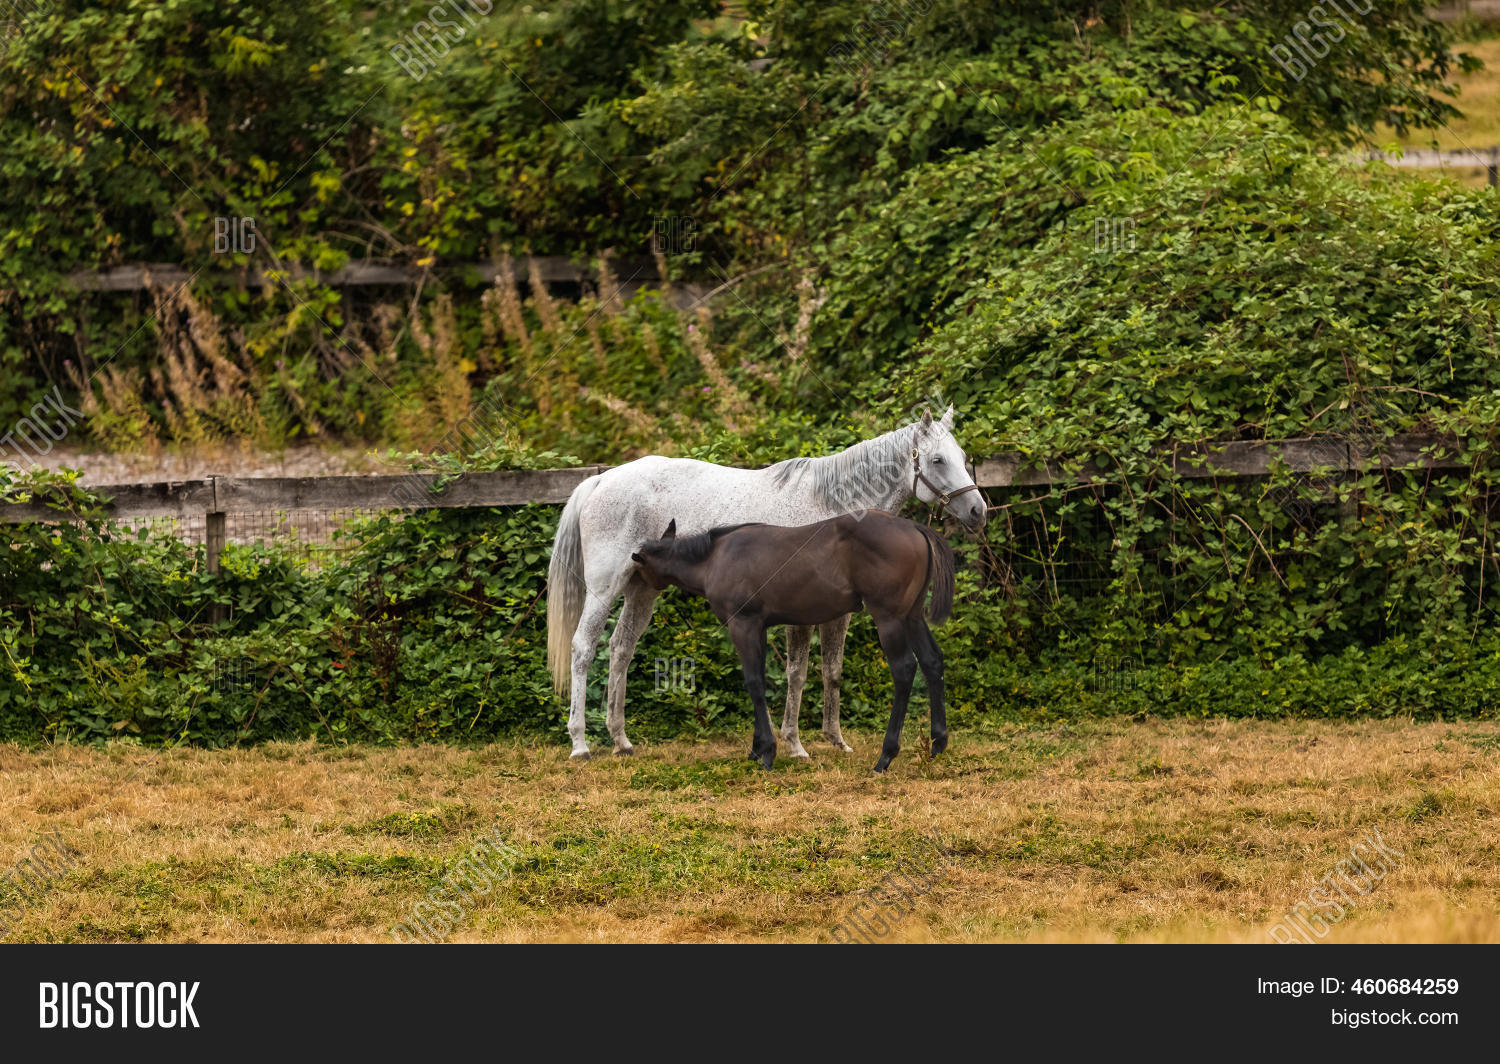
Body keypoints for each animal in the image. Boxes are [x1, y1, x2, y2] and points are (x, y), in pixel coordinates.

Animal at [630, 511, 955, 773]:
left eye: (638, 569)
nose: (632, 595)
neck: (715, 559)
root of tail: (915, 527)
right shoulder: (758, 627)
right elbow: (759, 680)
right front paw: (757, 748)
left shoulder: (743, 625)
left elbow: (753, 682)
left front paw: (767, 752)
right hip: (912, 616)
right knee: (932, 660)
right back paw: (938, 743)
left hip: (889, 618)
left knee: (904, 670)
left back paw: (886, 756)